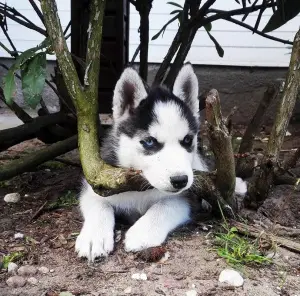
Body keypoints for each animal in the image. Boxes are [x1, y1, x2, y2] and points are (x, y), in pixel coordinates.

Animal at [75, 63, 246, 262]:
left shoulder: (187, 198)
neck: (140, 186)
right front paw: (93, 237)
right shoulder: (97, 184)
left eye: (187, 140)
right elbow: (99, 205)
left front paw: (142, 232)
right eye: (149, 142)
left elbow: (164, 205)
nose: (180, 180)